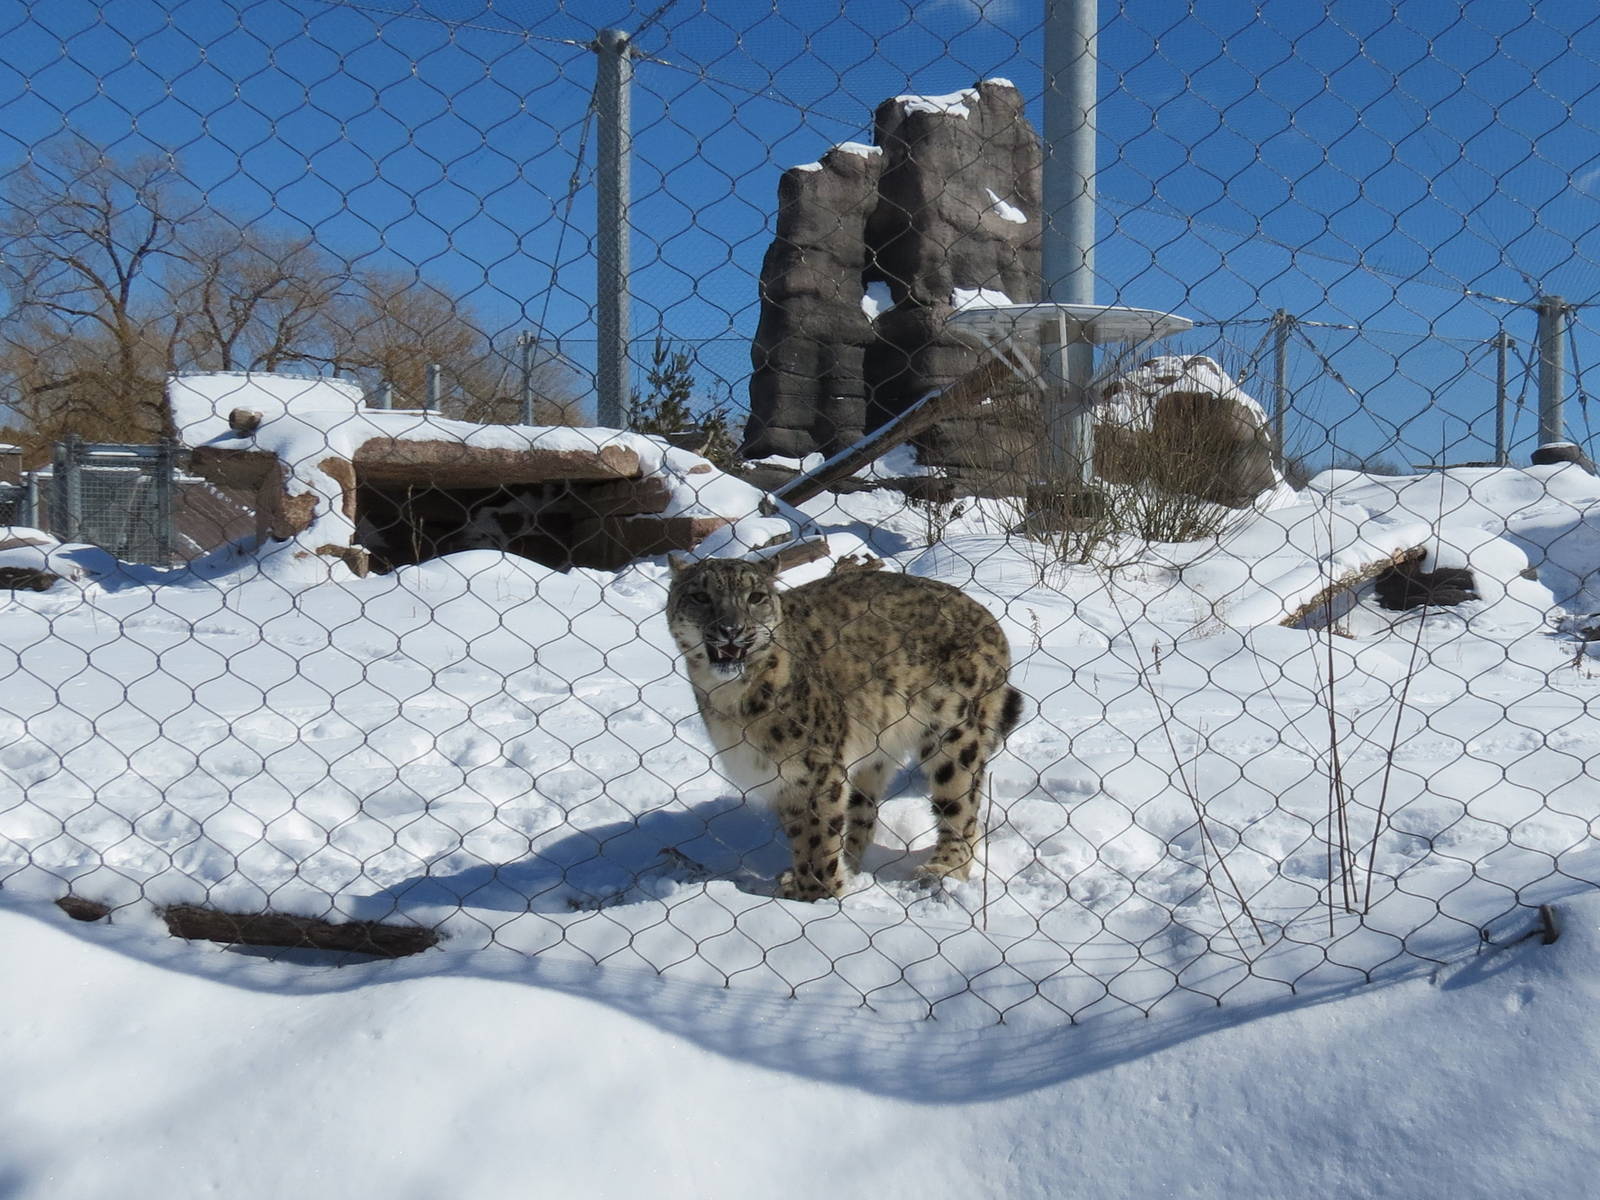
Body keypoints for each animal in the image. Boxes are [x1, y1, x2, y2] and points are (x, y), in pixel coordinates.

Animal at [666, 555, 1023, 901]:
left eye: (755, 597)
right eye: (700, 596)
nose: (731, 629)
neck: (730, 699)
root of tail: (990, 621)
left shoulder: (814, 770)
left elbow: (818, 837)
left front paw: (815, 897)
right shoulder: (782, 777)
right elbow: (802, 835)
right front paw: (802, 884)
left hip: (956, 737)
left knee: (961, 808)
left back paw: (943, 870)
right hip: (875, 751)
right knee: (863, 814)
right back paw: (851, 867)